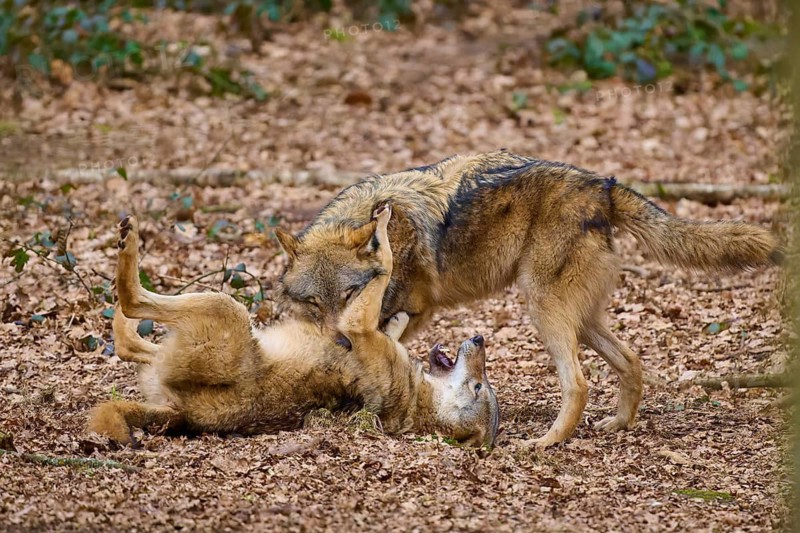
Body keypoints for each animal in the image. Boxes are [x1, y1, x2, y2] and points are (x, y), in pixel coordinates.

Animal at [88, 207, 500, 448]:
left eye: (480, 387)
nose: (480, 339)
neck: (418, 400)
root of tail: (181, 415)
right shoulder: (364, 328)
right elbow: (386, 301)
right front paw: (396, 318)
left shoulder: (356, 324)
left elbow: (383, 261)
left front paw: (380, 227)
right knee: (128, 339)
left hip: (225, 308)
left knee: (132, 303)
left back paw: (128, 245)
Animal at [274, 150, 782, 447]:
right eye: (315, 304)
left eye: (350, 293)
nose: (340, 341)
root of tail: (602, 187)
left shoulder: (411, 310)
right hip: (579, 318)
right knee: (631, 360)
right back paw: (617, 425)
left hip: (542, 308)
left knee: (578, 382)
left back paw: (547, 443)